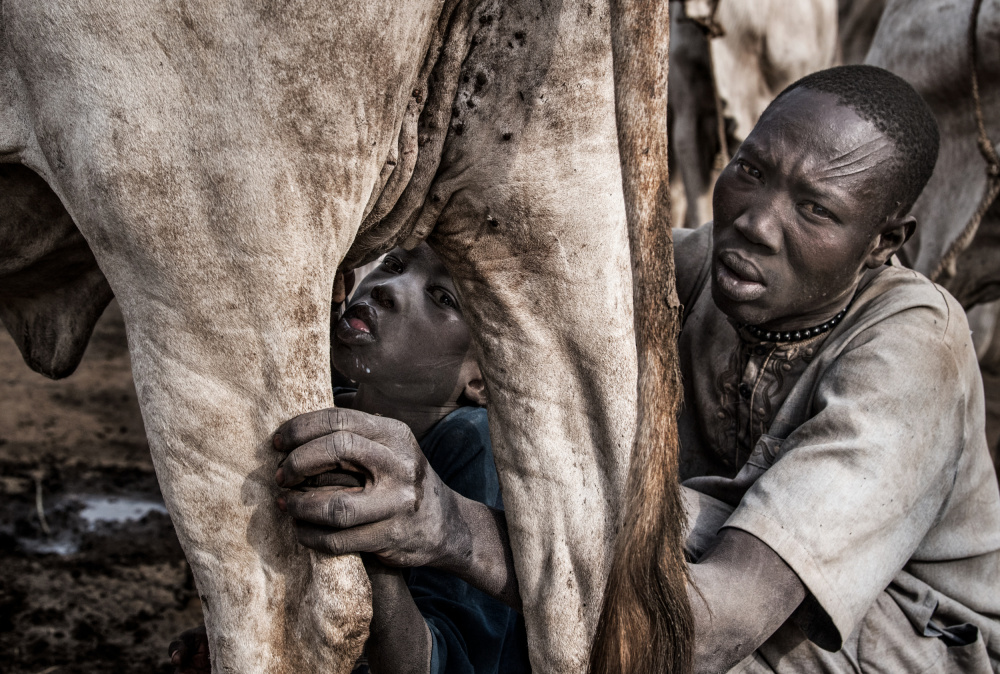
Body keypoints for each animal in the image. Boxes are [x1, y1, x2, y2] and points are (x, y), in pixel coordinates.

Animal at [0, 0, 691, 672]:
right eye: (394, 267)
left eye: (439, 298)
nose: (380, 296)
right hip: (553, 209)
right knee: (573, 579)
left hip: (191, 220)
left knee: (299, 620)